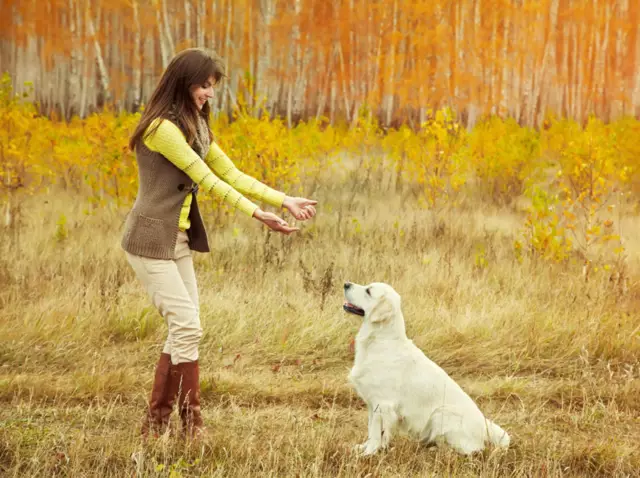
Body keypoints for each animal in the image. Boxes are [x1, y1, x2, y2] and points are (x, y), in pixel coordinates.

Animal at [342, 282, 512, 458]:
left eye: (368, 291)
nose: (346, 284)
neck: (379, 340)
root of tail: (485, 426)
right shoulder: (371, 404)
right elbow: (371, 431)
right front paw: (363, 448)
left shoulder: (382, 404)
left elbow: (376, 433)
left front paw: (368, 454)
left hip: (441, 414)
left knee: (470, 450)